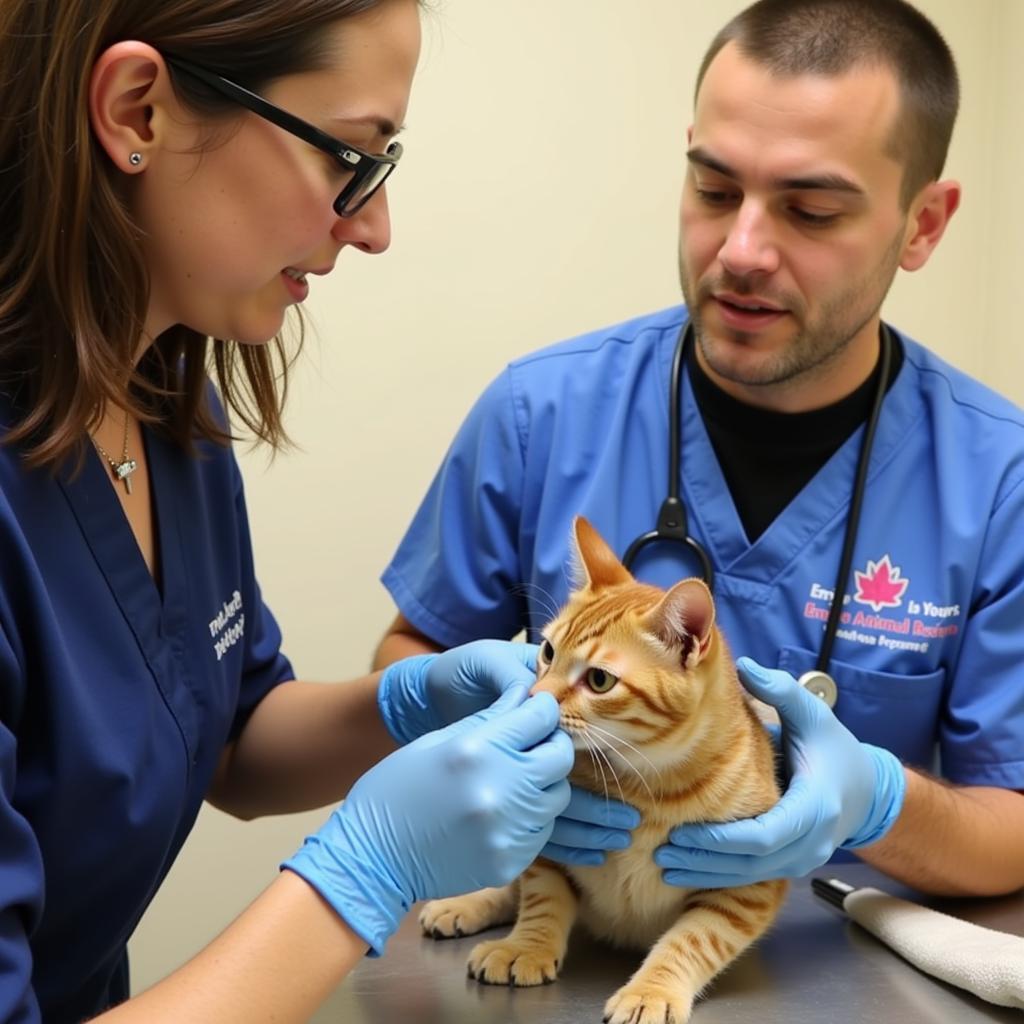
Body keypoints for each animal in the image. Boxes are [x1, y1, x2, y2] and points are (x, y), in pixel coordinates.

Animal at [419, 520, 786, 1024]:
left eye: (599, 680)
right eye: (548, 650)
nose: (535, 697)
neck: (643, 780)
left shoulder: (748, 880)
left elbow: (694, 938)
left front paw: (652, 988)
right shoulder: (549, 844)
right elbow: (542, 899)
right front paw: (526, 948)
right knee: (511, 890)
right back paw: (464, 905)